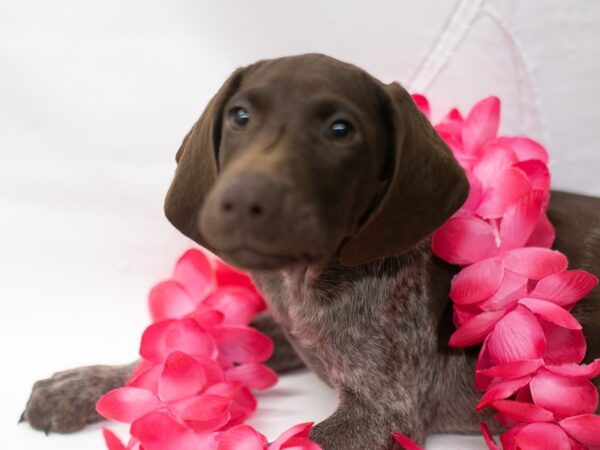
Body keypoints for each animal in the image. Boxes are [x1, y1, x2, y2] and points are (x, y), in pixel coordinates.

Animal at [23, 54, 600, 448]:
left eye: (340, 130)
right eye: (239, 117)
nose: (242, 200)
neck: (308, 280)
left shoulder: (380, 412)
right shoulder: (289, 330)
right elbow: (199, 345)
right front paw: (83, 383)